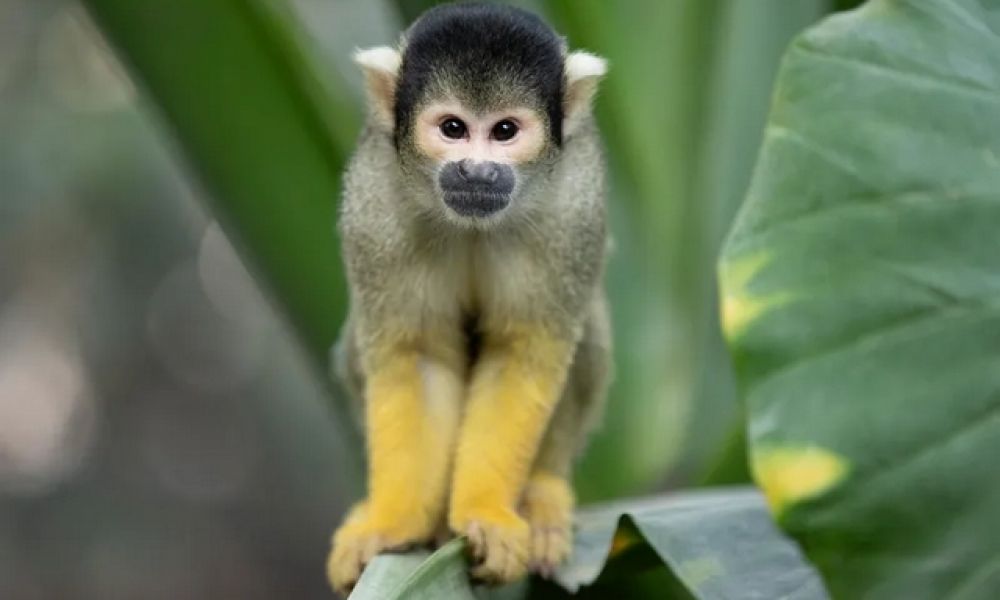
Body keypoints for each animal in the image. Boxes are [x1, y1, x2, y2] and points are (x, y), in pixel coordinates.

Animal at [328, 3, 608, 596]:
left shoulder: (575, 205)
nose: (477, 170)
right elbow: (417, 355)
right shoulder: (373, 199)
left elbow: (522, 352)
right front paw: (391, 526)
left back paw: (543, 492)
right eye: (453, 129)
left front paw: (487, 516)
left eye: (505, 131)